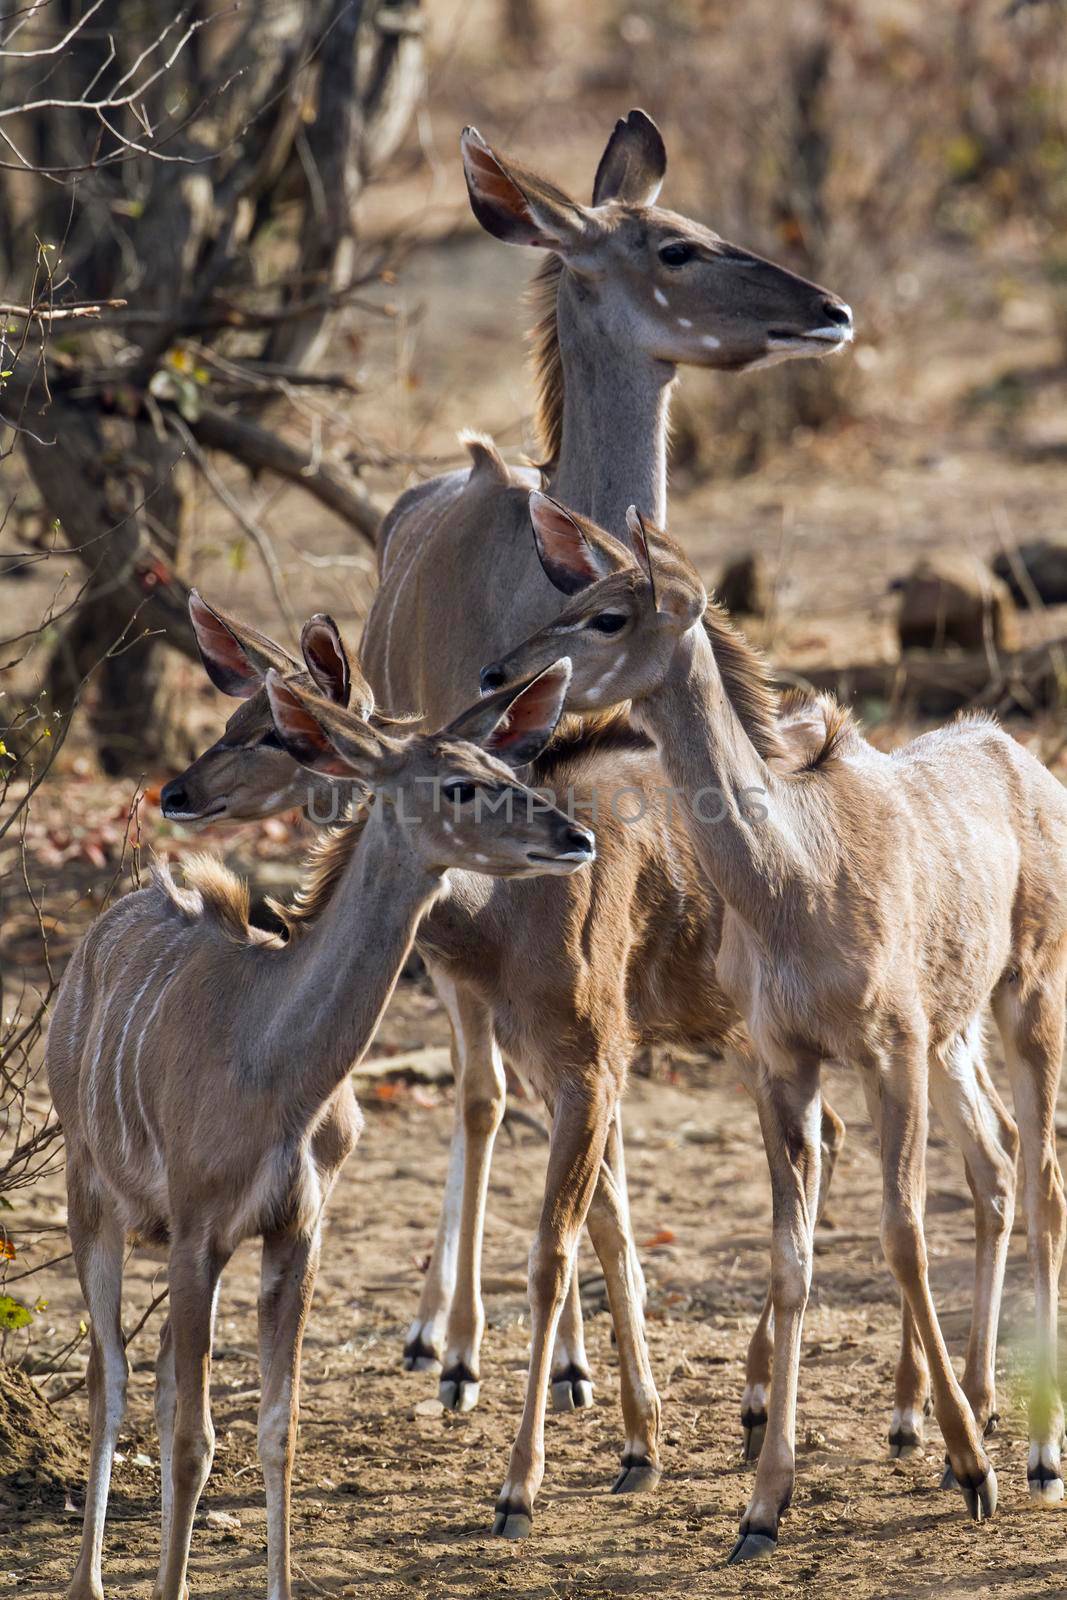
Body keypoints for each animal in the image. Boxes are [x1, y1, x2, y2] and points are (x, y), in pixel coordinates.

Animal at [45, 652, 591, 1600]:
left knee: (154, 1377)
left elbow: (274, 1429)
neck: (278, 1060)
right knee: (107, 1377)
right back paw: (89, 1582)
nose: (573, 837)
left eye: (509, 771)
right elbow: (191, 1439)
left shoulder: (296, 1230)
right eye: (460, 786)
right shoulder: (200, 1228)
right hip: (91, 1193)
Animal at [483, 489, 1067, 1561]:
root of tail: (1022, 760)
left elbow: (900, 1237)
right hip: (955, 1032)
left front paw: (974, 1471)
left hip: (1024, 1002)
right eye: (571, 595)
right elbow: (793, 1259)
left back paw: (1036, 1454)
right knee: (1000, 1166)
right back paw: (969, 1405)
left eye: (610, 615)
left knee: (1041, 1180)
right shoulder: (784, 1065)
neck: (795, 874)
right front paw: (763, 1505)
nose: (500, 676)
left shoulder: (886, 1053)